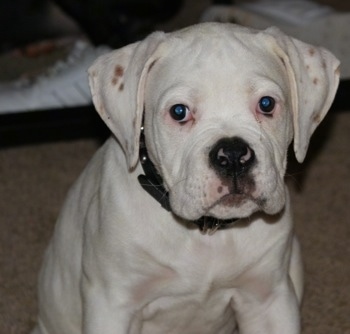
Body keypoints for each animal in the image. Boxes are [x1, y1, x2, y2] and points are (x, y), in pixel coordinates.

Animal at [32, 22, 340, 332]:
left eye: (266, 104)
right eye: (179, 111)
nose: (232, 155)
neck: (207, 234)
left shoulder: (268, 301)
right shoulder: (112, 305)